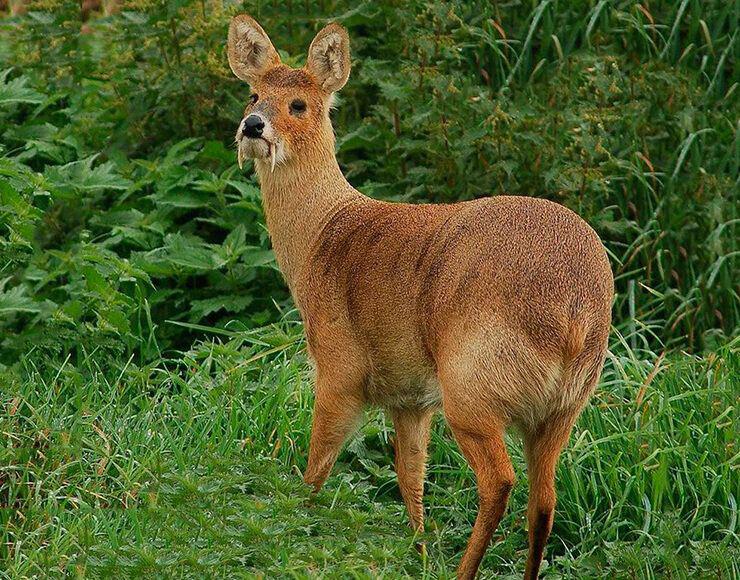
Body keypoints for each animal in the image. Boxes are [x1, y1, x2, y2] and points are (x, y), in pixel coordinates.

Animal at [225, 14, 612, 580]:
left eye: (299, 104)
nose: (253, 126)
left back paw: (463, 571)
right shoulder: (409, 398)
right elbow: (411, 478)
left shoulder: (340, 366)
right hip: (563, 407)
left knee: (499, 482)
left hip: (474, 383)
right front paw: (418, 552)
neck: (322, 235)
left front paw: (295, 533)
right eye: (253, 93)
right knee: (544, 501)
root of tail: (577, 309)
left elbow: (316, 469)